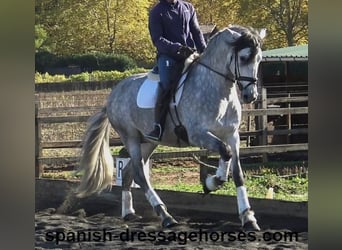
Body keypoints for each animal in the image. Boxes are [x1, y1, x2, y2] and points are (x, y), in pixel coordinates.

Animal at [77, 24, 264, 230]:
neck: (218, 90)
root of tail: (113, 94)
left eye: (259, 59)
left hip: (148, 142)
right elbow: (225, 152)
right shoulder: (198, 134)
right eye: (243, 58)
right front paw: (212, 182)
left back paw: (129, 213)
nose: (250, 96)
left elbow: (237, 172)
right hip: (130, 137)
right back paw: (165, 216)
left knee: (128, 173)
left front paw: (248, 218)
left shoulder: (232, 135)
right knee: (140, 175)